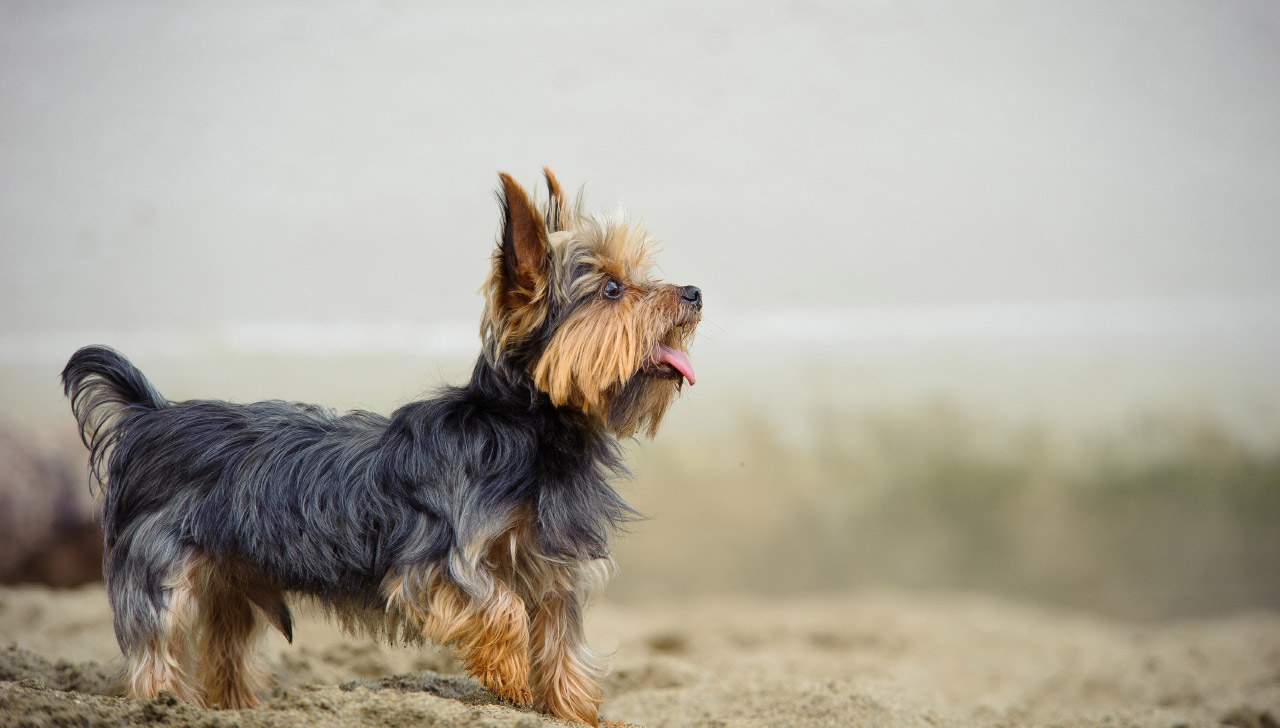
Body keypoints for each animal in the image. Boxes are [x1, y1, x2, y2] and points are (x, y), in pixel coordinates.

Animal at [60, 168, 701, 721]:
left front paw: (575, 713)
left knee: (226, 652)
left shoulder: (552, 569)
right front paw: (511, 678)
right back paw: (161, 703)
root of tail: (150, 416)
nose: (694, 292)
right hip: (161, 569)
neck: (529, 430)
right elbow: (503, 607)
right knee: (157, 646)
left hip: (228, 580)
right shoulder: (437, 561)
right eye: (612, 288)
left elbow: (562, 645)